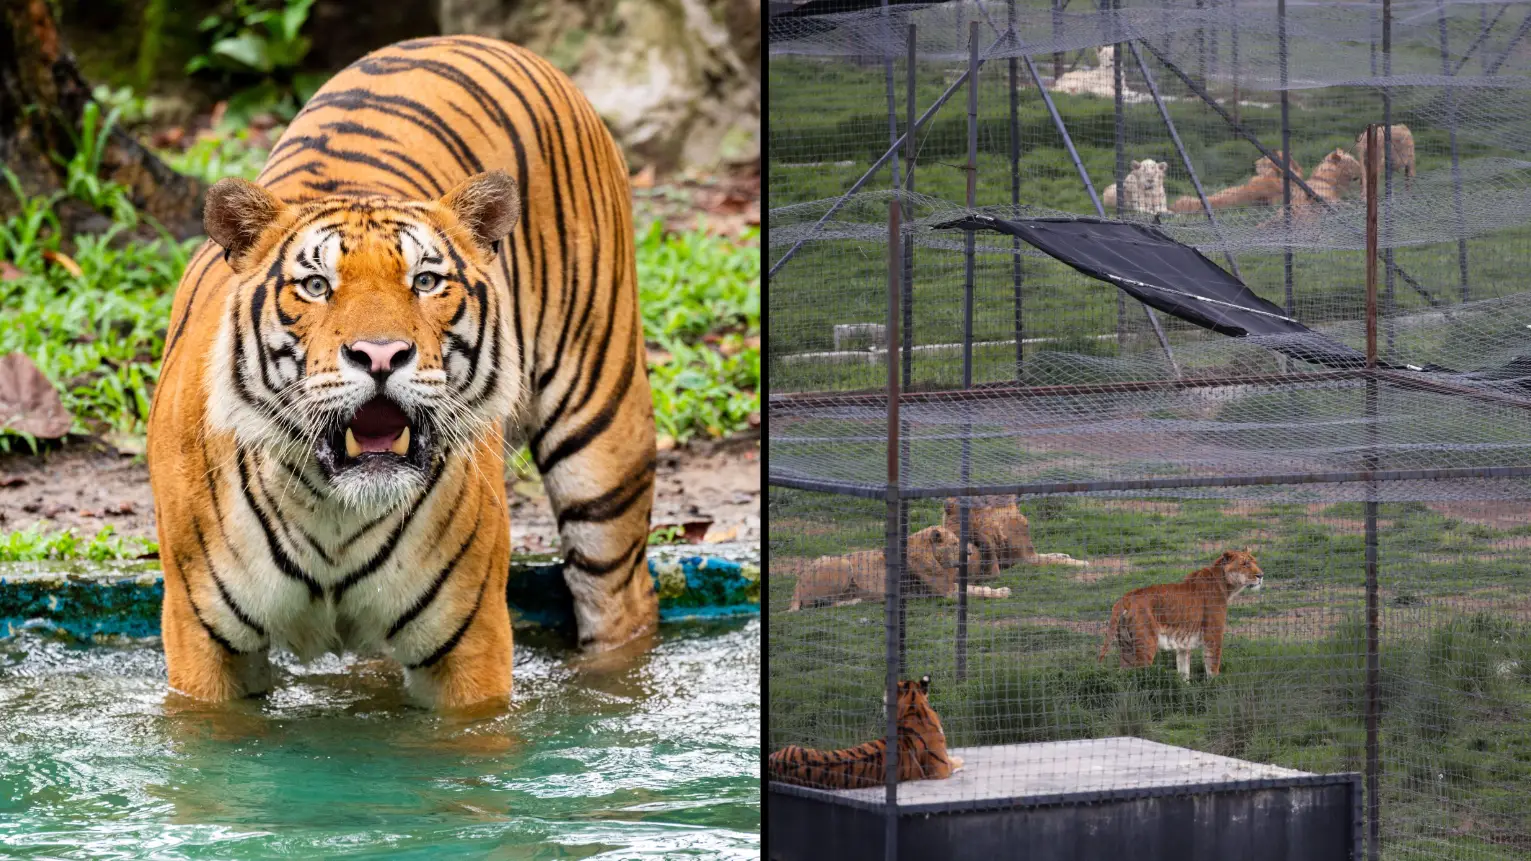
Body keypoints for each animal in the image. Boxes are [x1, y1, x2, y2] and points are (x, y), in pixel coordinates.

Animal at [146, 36, 658, 710]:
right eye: (316, 286)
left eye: (426, 281)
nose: (382, 356)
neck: (330, 512)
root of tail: (485, 40)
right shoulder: (203, 642)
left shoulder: (470, 639)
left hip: (603, 440)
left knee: (621, 599)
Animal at [786, 525, 1008, 612]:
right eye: (954, 544)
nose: (969, 553)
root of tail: (796, 587)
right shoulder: (946, 592)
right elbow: (976, 590)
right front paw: (1001, 593)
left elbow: (974, 588)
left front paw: (1002, 590)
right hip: (842, 563)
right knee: (822, 604)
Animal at [1097, 549, 1264, 681]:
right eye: (1244, 564)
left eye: (1255, 562)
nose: (1261, 575)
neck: (1226, 585)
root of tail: (1125, 598)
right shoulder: (1213, 636)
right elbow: (1212, 669)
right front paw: (1215, 690)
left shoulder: (1183, 644)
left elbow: (1184, 671)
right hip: (1145, 646)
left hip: (1126, 648)